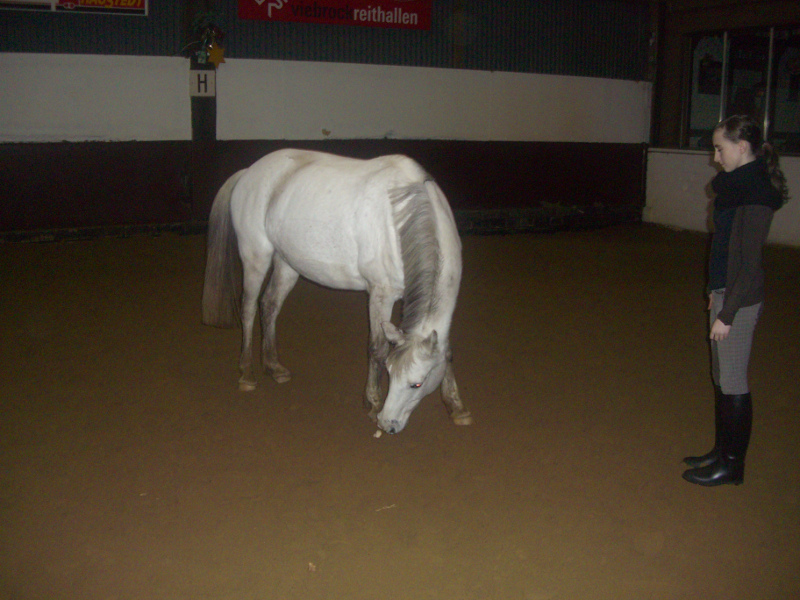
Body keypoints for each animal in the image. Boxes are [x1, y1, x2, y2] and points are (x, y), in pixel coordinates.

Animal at [201, 149, 472, 434]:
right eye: (389, 373)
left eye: (416, 383)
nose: (387, 424)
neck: (402, 220)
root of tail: (248, 173)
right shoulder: (380, 294)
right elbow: (376, 347)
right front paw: (372, 402)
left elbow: (447, 353)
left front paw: (457, 407)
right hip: (256, 257)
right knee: (248, 309)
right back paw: (246, 372)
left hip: (286, 263)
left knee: (269, 306)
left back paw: (274, 367)